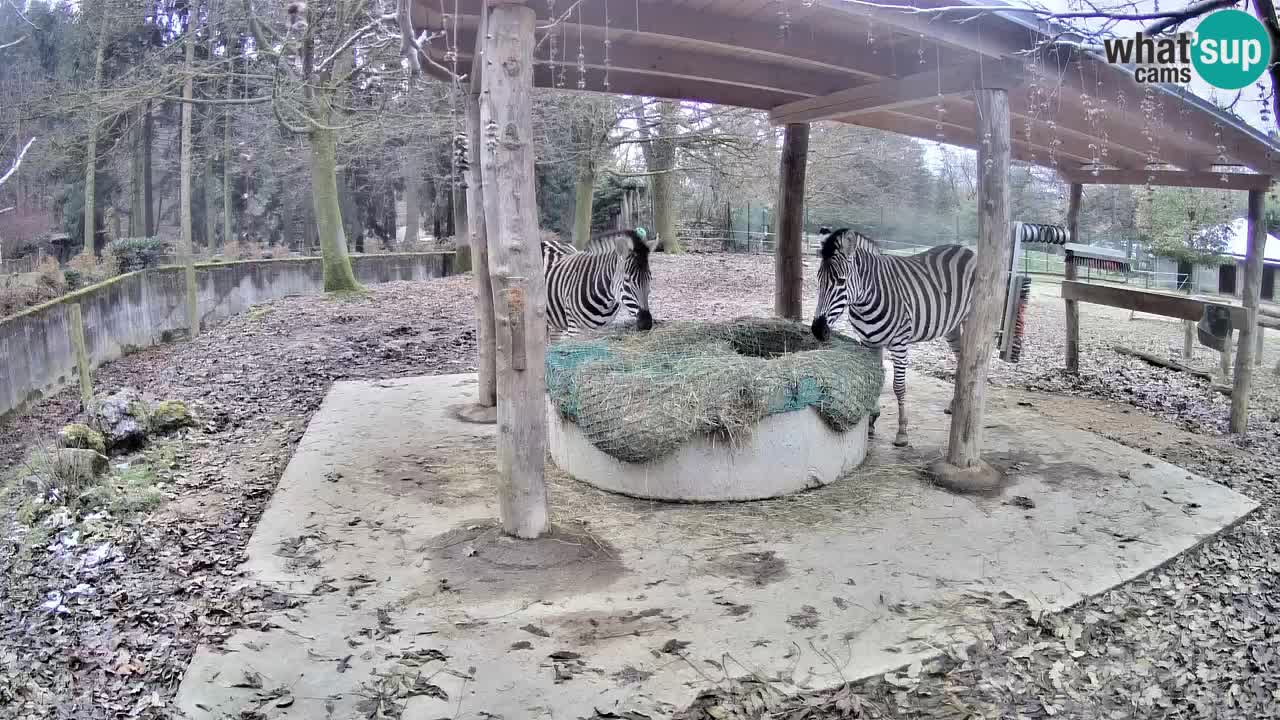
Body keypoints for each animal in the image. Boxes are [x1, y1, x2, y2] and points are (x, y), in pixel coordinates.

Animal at [808, 226, 977, 445]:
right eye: (819, 279)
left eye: (840, 281)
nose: (817, 330)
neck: (865, 301)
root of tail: (965, 249)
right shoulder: (869, 342)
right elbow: (875, 379)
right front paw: (871, 422)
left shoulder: (899, 343)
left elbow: (898, 387)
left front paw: (902, 431)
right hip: (952, 327)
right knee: (960, 360)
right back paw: (954, 404)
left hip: (970, 319)